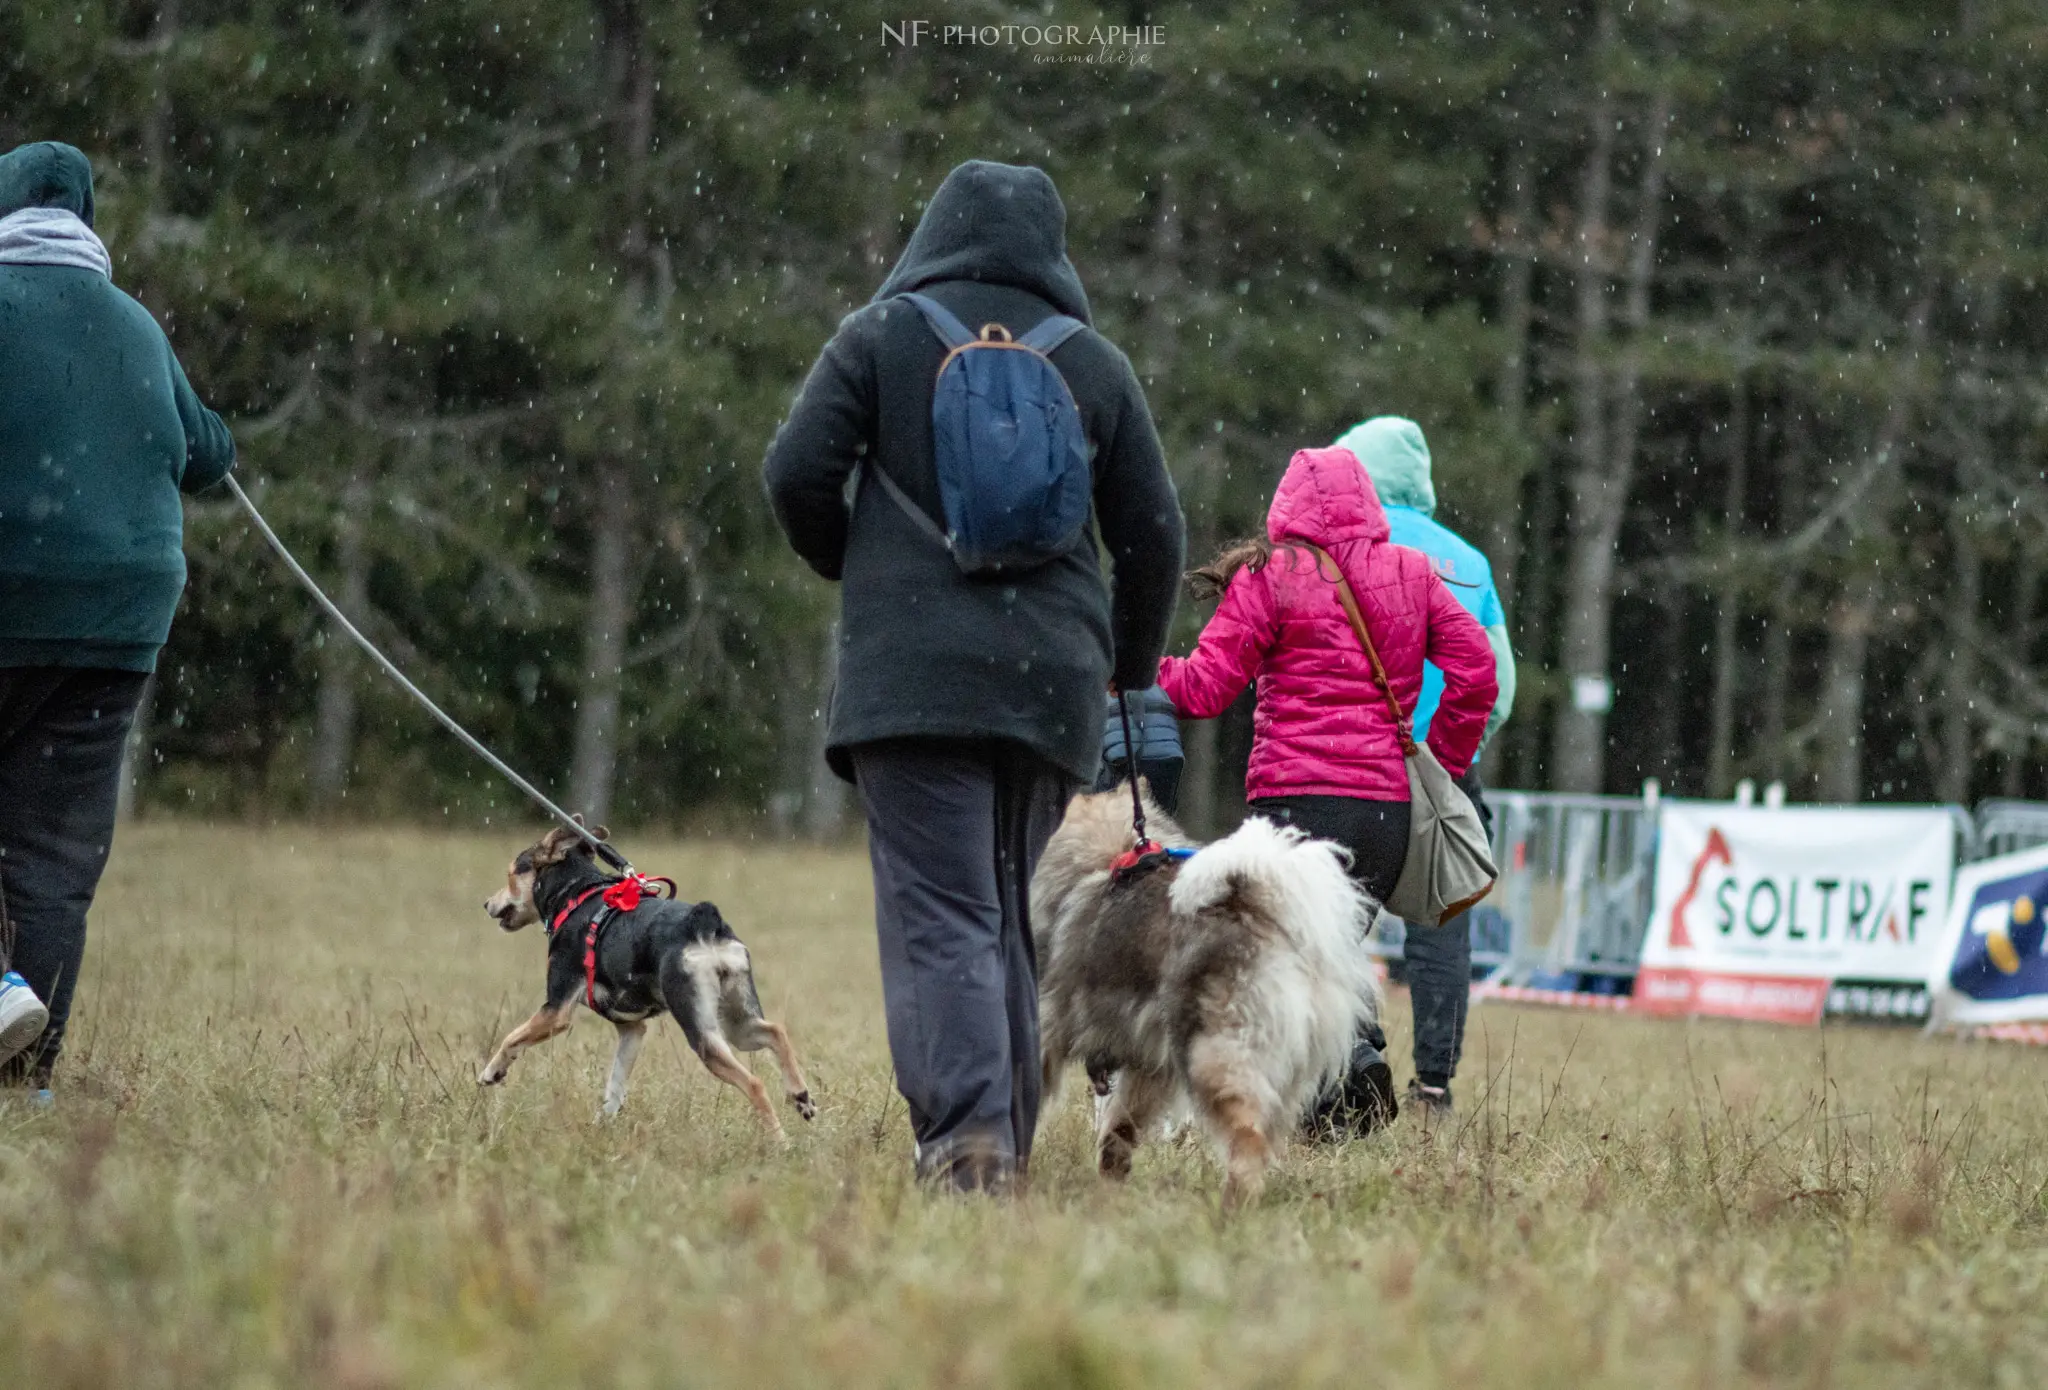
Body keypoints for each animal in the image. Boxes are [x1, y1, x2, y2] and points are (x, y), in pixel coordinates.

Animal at [479, 827, 815, 1130]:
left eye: (510, 873)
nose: (486, 903)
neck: (576, 895)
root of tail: (705, 924)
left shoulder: (555, 1011)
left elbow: (511, 1038)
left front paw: (491, 1072)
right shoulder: (632, 1029)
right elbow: (615, 1086)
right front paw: (601, 1127)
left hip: (702, 1031)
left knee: (755, 1084)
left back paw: (779, 1141)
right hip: (736, 1021)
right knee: (776, 1031)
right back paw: (801, 1096)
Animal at [1032, 790, 1384, 1211]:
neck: (1108, 858)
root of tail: (1269, 916)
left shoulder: (1047, 1029)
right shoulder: (1149, 1067)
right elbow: (1120, 1128)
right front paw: (1110, 1181)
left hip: (1213, 1055)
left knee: (1246, 1136)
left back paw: (1233, 1207)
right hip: (1288, 1081)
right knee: (1266, 1137)